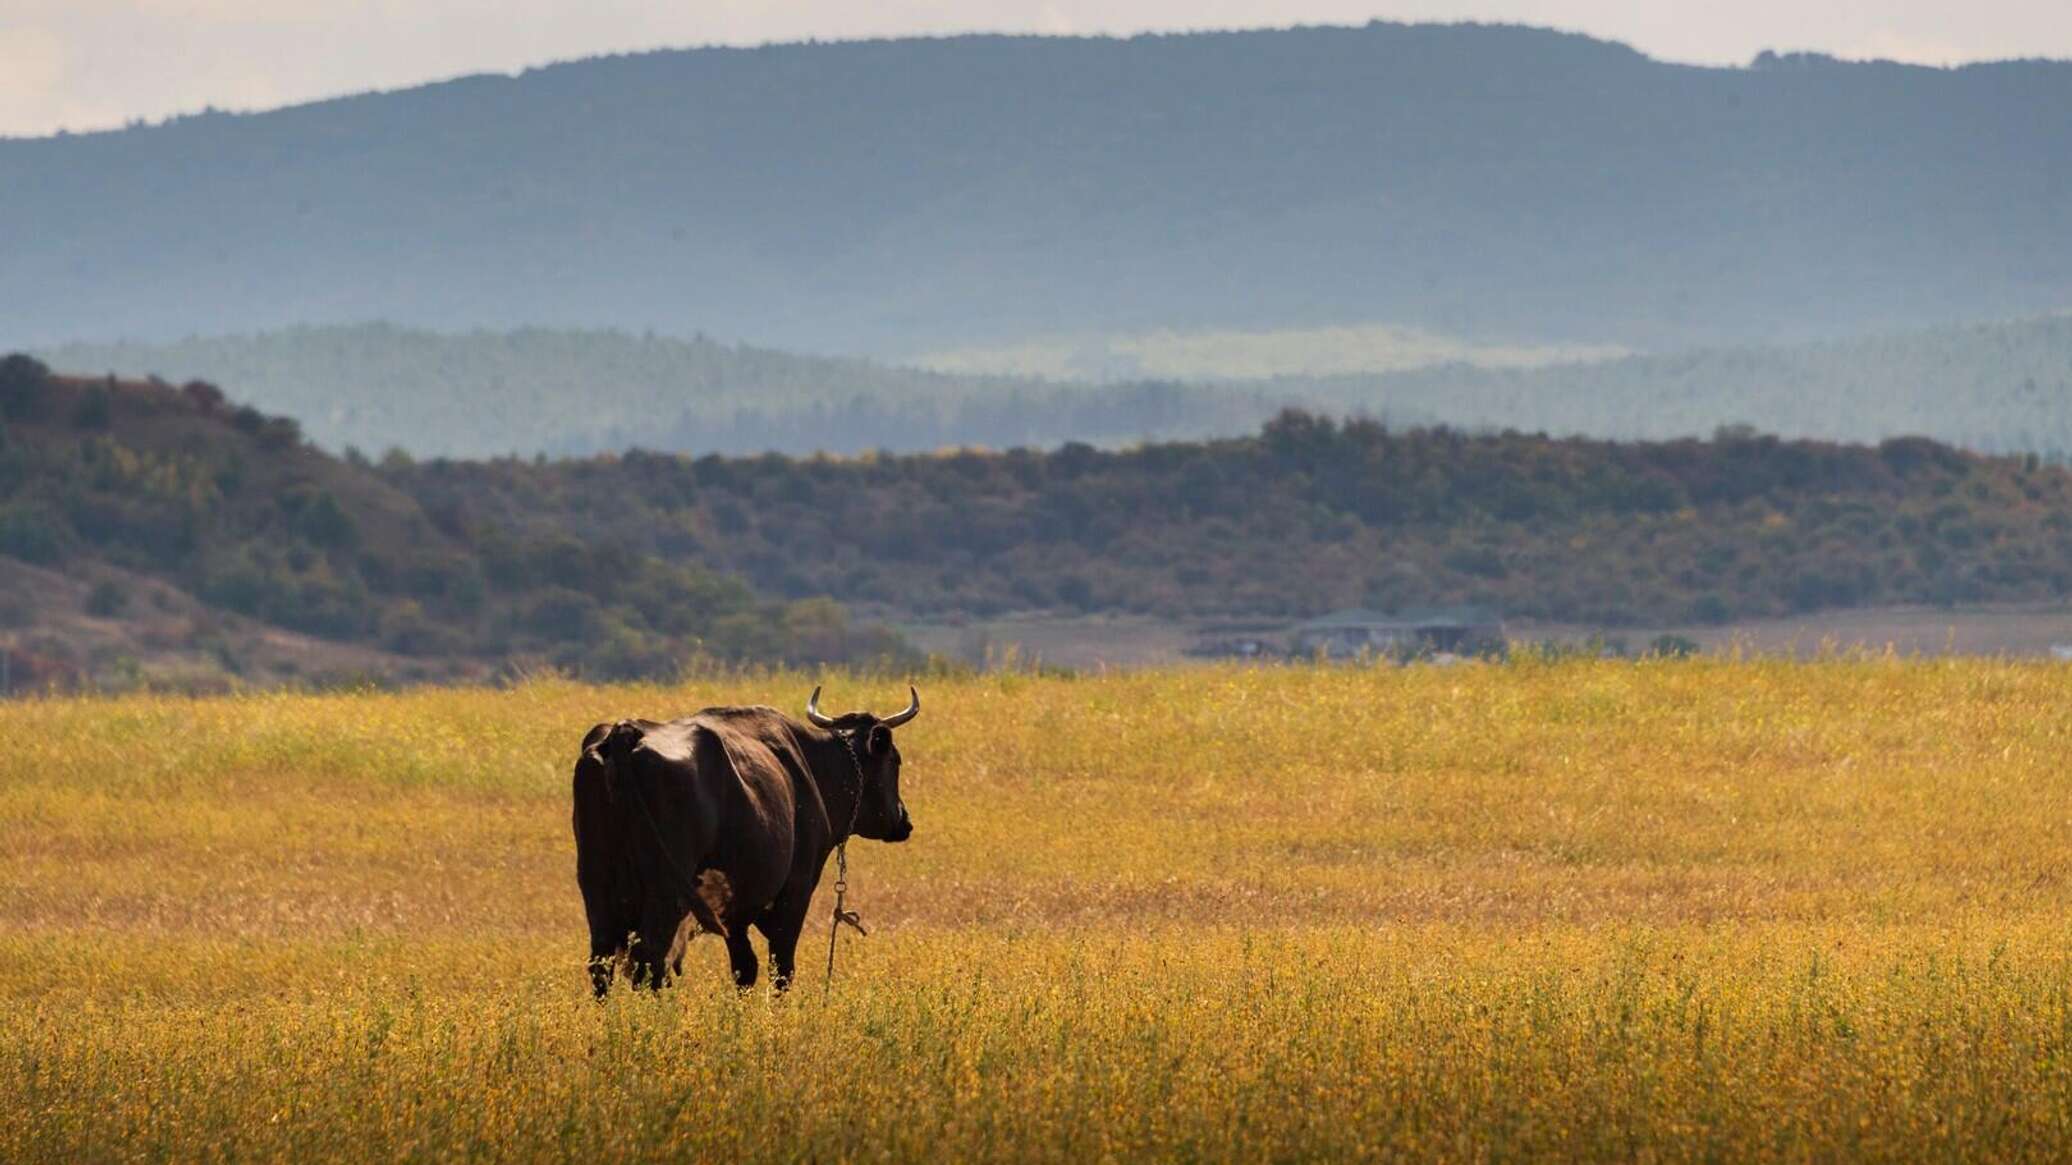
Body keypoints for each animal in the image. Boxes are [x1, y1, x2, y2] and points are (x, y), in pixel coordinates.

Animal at [571, 684, 919, 995]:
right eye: (896, 760)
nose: (904, 820)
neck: (811, 766)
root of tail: (626, 733)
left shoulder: (736, 911)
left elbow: (745, 968)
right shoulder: (796, 890)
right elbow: (782, 968)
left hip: (596, 885)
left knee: (602, 963)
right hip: (666, 891)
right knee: (650, 960)